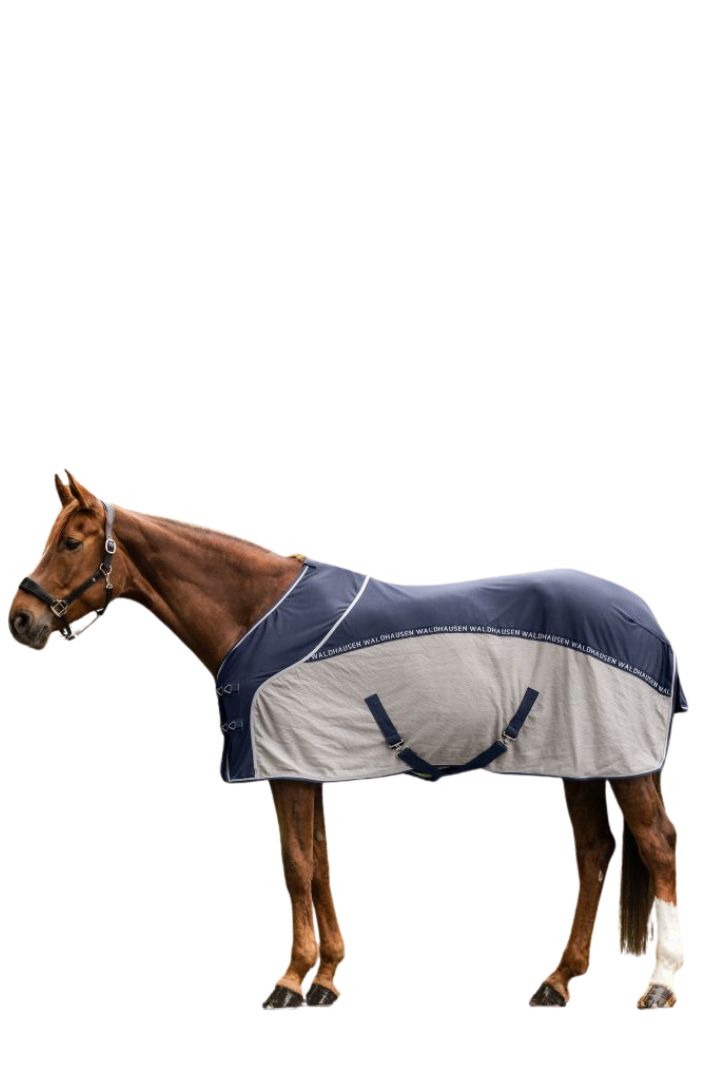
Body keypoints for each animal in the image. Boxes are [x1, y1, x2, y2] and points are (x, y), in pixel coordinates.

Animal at [9, 472, 685, 1010]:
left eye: (71, 542)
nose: (21, 619)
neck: (257, 612)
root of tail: (646, 620)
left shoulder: (283, 768)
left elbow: (295, 866)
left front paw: (289, 980)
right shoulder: (309, 765)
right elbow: (321, 862)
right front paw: (327, 978)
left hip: (622, 762)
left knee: (657, 845)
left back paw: (660, 984)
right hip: (580, 760)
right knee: (595, 852)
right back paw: (558, 980)